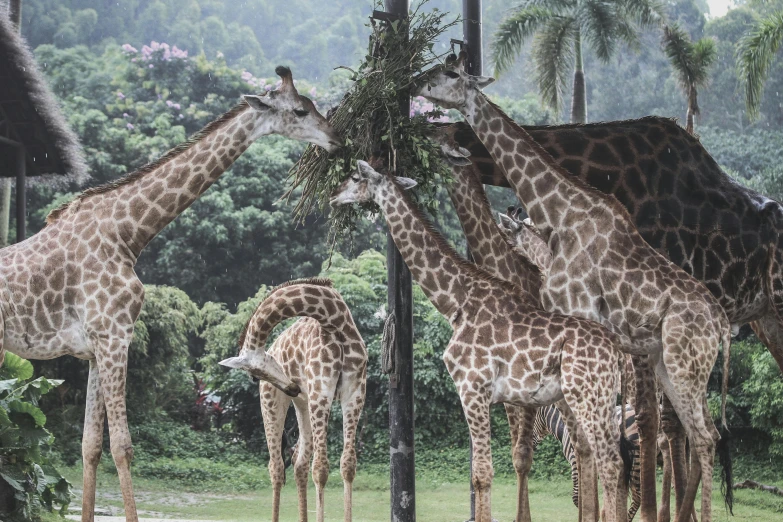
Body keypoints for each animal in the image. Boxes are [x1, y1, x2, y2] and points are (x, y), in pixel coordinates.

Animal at [0, 66, 340, 520]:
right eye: (301, 110)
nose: (337, 138)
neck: (128, 233)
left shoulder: (94, 348)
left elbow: (90, 445)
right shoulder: (115, 337)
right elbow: (122, 446)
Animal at [220, 278, 368, 520]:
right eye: (254, 377)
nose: (292, 387)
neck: (334, 319)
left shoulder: (355, 392)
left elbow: (347, 465)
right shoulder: (321, 391)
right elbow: (321, 469)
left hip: (304, 405)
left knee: (299, 462)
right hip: (272, 402)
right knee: (277, 466)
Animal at [330, 158, 632, 520]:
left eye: (355, 176)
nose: (333, 195)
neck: (455, 302)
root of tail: (617, 351)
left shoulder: (473, 387)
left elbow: (483, 474)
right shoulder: (488, 395)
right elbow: (482, 472)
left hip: (588, 395)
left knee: (610, 463)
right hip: (594, 398)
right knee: (606, 460)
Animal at [420, 51, 732, 520]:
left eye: (451, 73)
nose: (419, 85)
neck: (561, 214)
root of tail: (721, 321)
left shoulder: (577, 321)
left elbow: (579, 448)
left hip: (682, 363)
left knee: (695, 436)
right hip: (670, 364)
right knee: (695, 433)